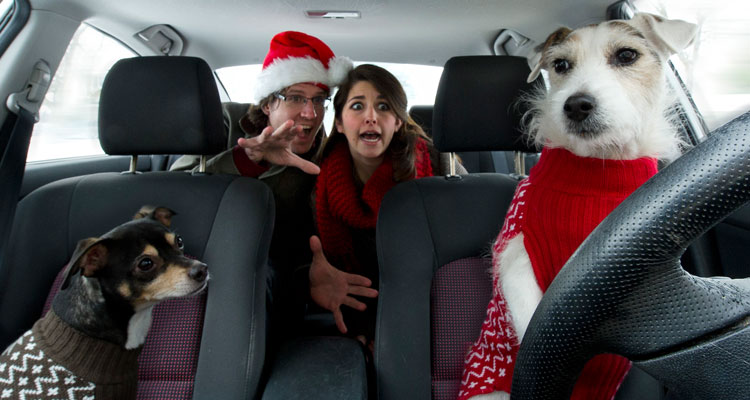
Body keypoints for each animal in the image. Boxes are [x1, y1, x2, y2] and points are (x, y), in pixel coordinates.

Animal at [462, 12, 704, 400]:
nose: (576, 105)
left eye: (626, 55)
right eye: (561, 65)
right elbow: (533, 320)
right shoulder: (518, 256)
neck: (596, 172)